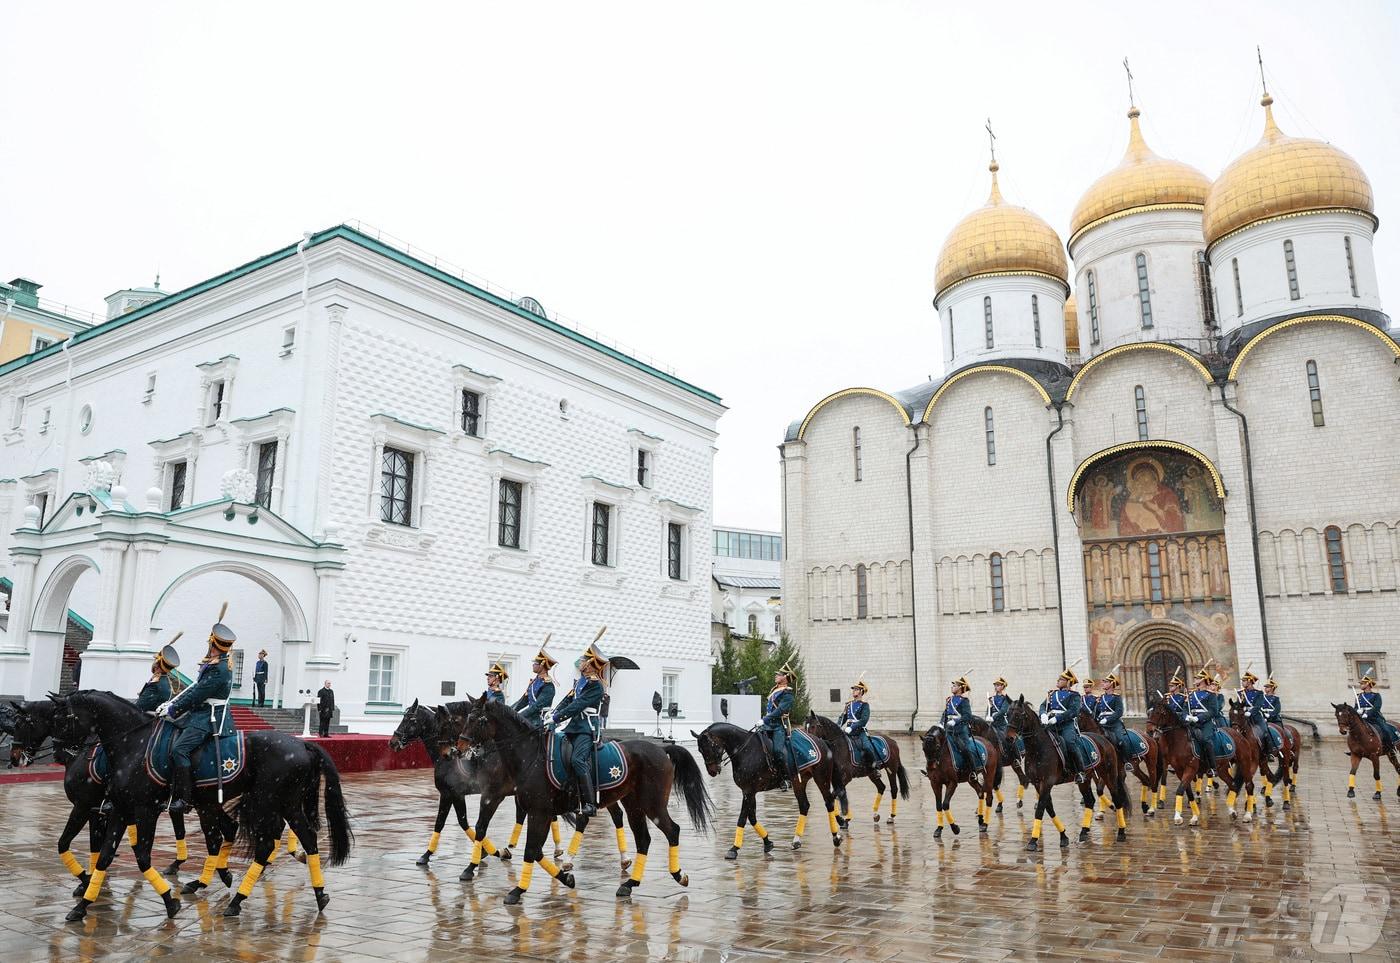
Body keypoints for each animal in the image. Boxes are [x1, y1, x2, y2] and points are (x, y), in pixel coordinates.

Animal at [55, 688, 352, 923]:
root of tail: (302, 744)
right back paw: (319, 894)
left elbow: (142, 857)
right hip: (282, 804)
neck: (133, 745)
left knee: (266, 843)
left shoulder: (144, 809)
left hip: (266, 802)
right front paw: (82, 906)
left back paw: (236, 899)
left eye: (63, 718)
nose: (60, 752)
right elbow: (105, 856)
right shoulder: (120, 808)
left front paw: (169, 901)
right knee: (307, 839)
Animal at [383, 699, 624, 879]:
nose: (393, 742)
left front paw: (433, 856)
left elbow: (448, 823)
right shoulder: (461, 795)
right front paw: (487, 852)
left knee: (595, 816)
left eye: (410, 719)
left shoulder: (463, 794)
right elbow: (464, 822)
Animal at [464, 697, 711, 907]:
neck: (530, 755)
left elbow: (530, 850)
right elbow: (534, 850)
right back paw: (629, 884)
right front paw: (565, 878)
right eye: (466, 718)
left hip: (653, 805)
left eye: (478, 719)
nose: (461, 745)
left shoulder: (536, 811)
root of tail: (661, 748)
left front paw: (517, 890)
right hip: (634, 805)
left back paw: (678, 875)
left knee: (672, 831)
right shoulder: (537, 810)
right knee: (643, 839)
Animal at [691, 722, 840, 856]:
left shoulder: (748, 791)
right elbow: (752, 817)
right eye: (700, 750)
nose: (712, 771)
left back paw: (836, 837)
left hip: (821, 778)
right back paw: (796, 840)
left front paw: (734, 849)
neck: (745, 750)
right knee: (804, 805)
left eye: (709, 747)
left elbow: (742, 818)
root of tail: (822, 742)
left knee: (829, 802)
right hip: (799, 781)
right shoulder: (749, 792)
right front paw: (767, 842)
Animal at [1002, 691, 1131, 851]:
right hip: (1085, 779)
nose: (1008, 738)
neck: (1037, 749)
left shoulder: (1047, 783)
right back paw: (1083, 832)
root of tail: (1105, 740)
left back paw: (1121, 832)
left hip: (1109, 775)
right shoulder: (1038, 784)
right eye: (1007, 714)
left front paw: (1033, 840)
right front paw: (1063, 836)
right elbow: (1049, 808)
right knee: (1090, 801)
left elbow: (1040, 809)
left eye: (1020, 715)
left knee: (1117, 799)